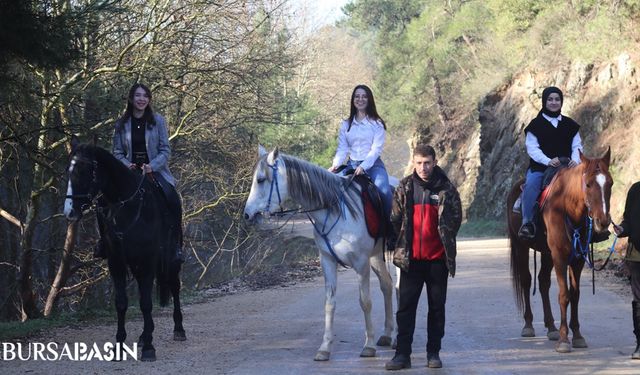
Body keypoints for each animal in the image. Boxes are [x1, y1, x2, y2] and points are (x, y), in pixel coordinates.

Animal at [64, 142, 186, 362]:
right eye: (68, 171)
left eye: (85, 171)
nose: (69, 211)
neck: (126, 207)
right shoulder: (117, 262)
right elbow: (121, 303)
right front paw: (119, 346)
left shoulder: (147, 259)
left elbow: (146, 303)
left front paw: (149, 349)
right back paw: (144, 335)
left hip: (170, 259)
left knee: (174, 286)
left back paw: (178, 329)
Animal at [245, 146, 396, 362]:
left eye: (261, 180)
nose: (247, 215)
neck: (335, 211)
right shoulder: (327, 261)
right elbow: (329, 304)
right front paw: (324, 348)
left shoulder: (360, 263)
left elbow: (365, 302)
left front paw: (368, 346)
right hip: (375, 257)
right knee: (387, 285)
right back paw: (387, 335)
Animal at [508, 149, 612, 352]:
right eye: (588, 184)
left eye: (610, 183)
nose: (602, 222)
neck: (568, 207)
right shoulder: (560, 257)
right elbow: (564, 295)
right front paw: (564, 340)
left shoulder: (577, 259)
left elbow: (575, 295)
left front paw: (577, 336)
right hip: (521, 246)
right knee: (526, 280)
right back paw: (529, 325)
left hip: (546, 253)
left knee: (543, 282)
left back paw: (551, 327)